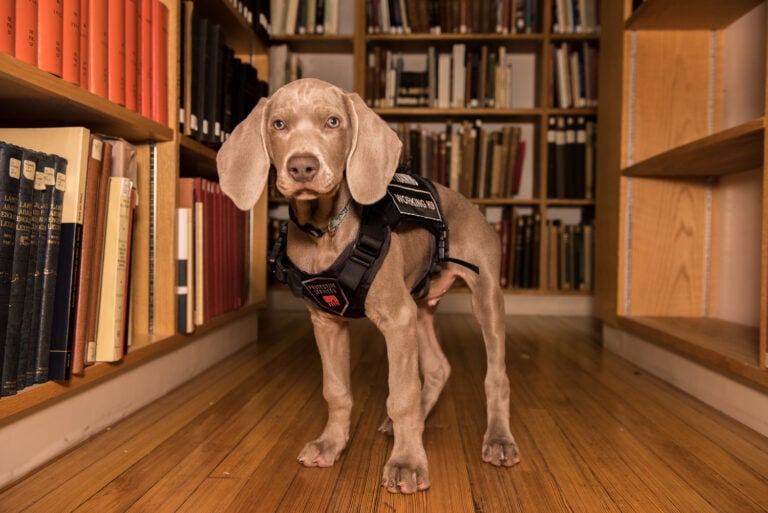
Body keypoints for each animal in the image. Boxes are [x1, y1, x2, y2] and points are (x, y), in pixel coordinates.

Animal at [216, 78, 520, 494]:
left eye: (333, 122)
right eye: (278, 124)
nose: (302, 166)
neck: (325, 230)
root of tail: (468, 203)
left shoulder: (396, 319)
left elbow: (402, 394)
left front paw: (407, 462)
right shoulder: (328, 322)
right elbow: (336, 391)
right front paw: (331, 443)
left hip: (484, 295)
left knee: (497, 376)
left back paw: (499, 439)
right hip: (419, 308)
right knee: (438, 367)